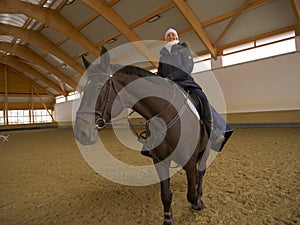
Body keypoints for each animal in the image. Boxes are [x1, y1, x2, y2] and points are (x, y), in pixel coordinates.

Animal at [73, 46, 209, 224]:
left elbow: (191, 194)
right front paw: (168, 220)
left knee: (201, 172)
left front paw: (198, 203)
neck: (166, 117)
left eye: (98, 88)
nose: (80, 133)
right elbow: (166, 195)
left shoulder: (190, 162)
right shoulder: (160, 161)